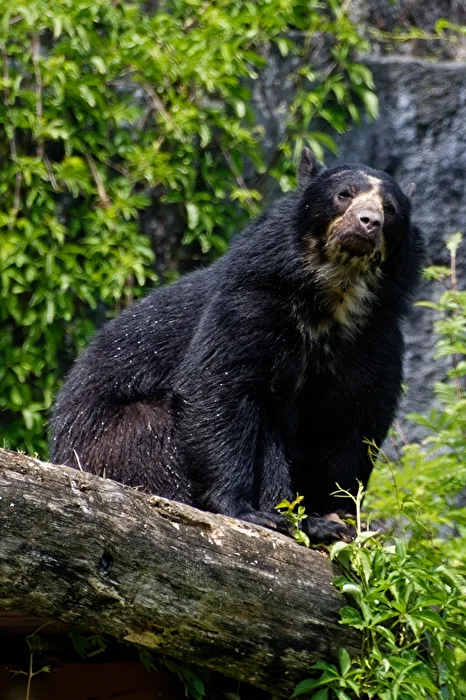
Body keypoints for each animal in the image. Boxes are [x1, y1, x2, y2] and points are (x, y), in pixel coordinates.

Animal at [50, 149, 425, 543]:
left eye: (391, 209)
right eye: (344, 194)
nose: (369, 222)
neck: (334, 296)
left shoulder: (375, 339)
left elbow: (356, 423)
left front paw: (340, 518)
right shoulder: (247, 306)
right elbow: (221, 387)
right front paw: (247, 511)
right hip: (110, 443)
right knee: (160, 429)